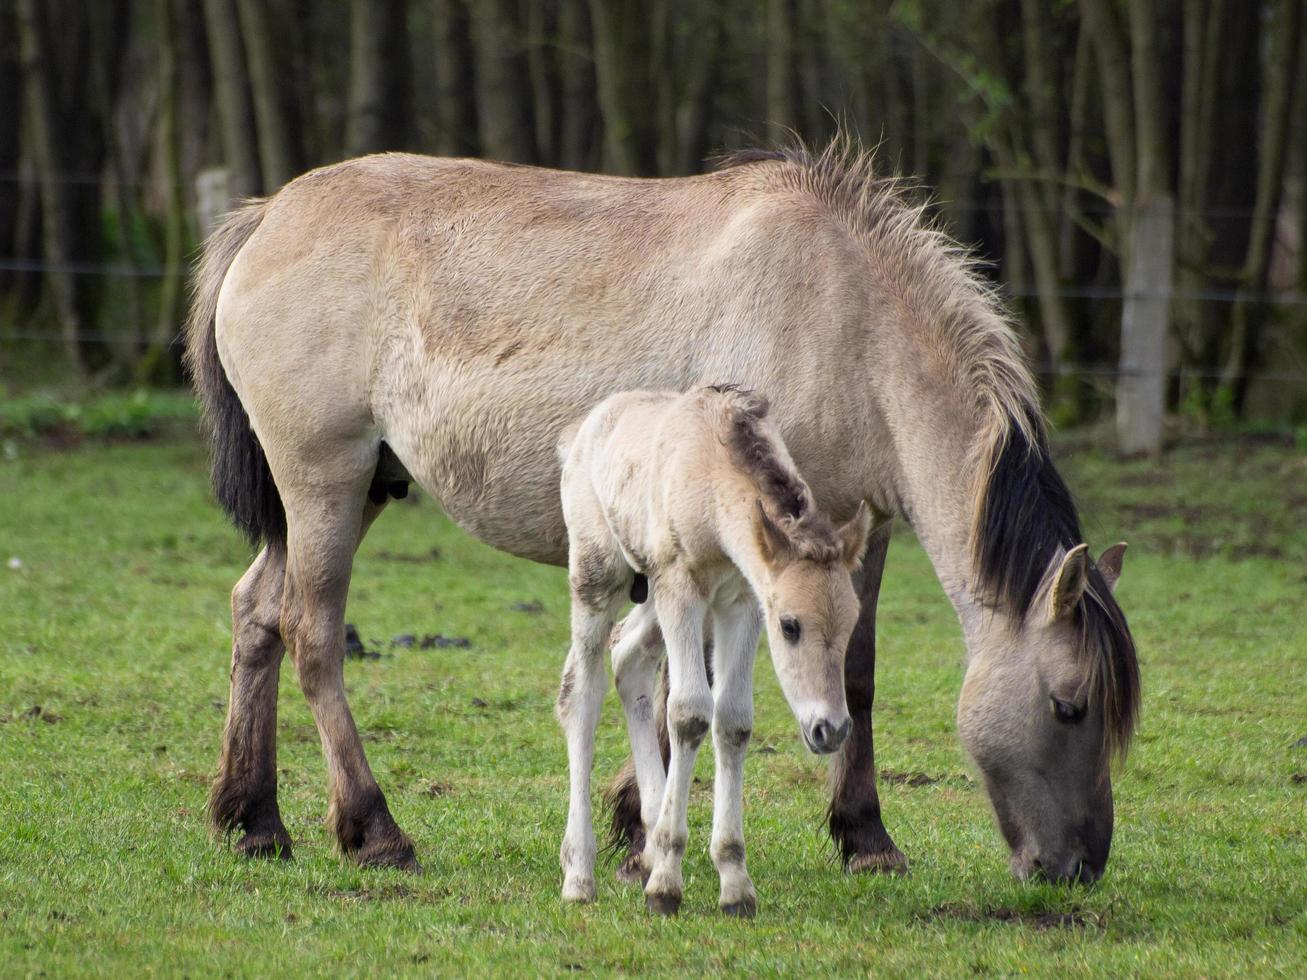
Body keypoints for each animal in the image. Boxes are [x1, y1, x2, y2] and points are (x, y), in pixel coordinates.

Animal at [551, 386, 867, 919]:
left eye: (851, 625)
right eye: (790, 626)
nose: (831, 729)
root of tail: (582, 431)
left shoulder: (741, 600)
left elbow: (733, 719)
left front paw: (734, 883)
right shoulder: (681, 586)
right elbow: (689, 713)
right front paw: (666, 888)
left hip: (652, 597)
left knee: (629, 659)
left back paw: (648, 844)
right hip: (599, 573)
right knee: (581, 688)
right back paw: (580, 874)